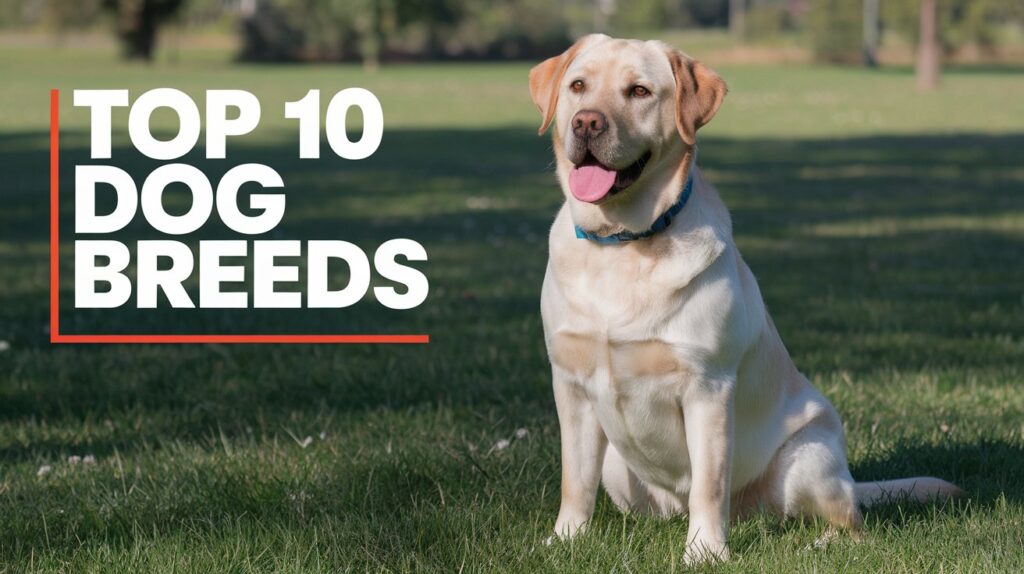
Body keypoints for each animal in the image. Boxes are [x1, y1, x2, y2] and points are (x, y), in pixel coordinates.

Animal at [528, 33, 958, 560]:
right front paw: (565, 539)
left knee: (849, 520)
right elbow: (575, 480)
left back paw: (818, 545)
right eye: (578, 86)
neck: (624, 242)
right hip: (618, 466)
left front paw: (705, 553)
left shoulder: (708, 387)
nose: (586, 121)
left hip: (808, 458)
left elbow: (709, 483)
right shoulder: (570, 385)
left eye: (639, 91)